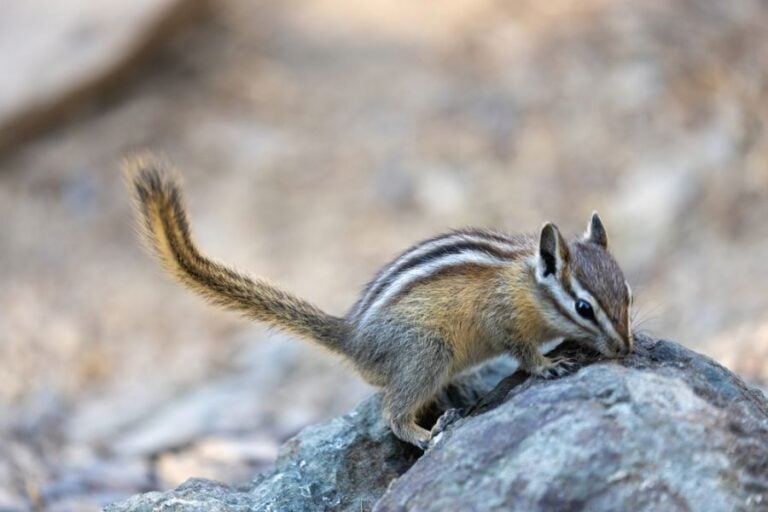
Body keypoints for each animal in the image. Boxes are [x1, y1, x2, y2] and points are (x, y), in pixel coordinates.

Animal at [124, 154, 633, 450]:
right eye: (584, 308)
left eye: (628, 293)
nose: (626, 349)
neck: (527, 283)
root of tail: (352, 338)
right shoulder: (502, 318)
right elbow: (522, 352)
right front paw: (548, 365)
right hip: (427, 350)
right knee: (392, 415)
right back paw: (429, 433)